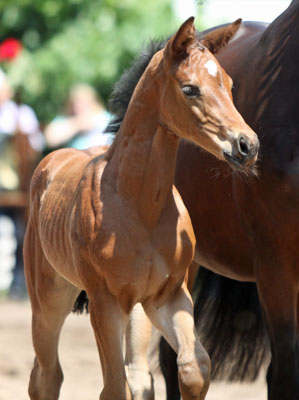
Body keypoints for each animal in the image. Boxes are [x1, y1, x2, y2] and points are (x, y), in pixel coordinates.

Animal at [24, 17, 258, 398]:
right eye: (190, 89)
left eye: (228, 83)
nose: (247, 145)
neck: (141, 206)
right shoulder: (104, 303)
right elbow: (112, 388)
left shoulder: (168, 296)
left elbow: (194, 367)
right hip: (49, 299)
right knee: (46, 375)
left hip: (136, 311)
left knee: (138, 374)